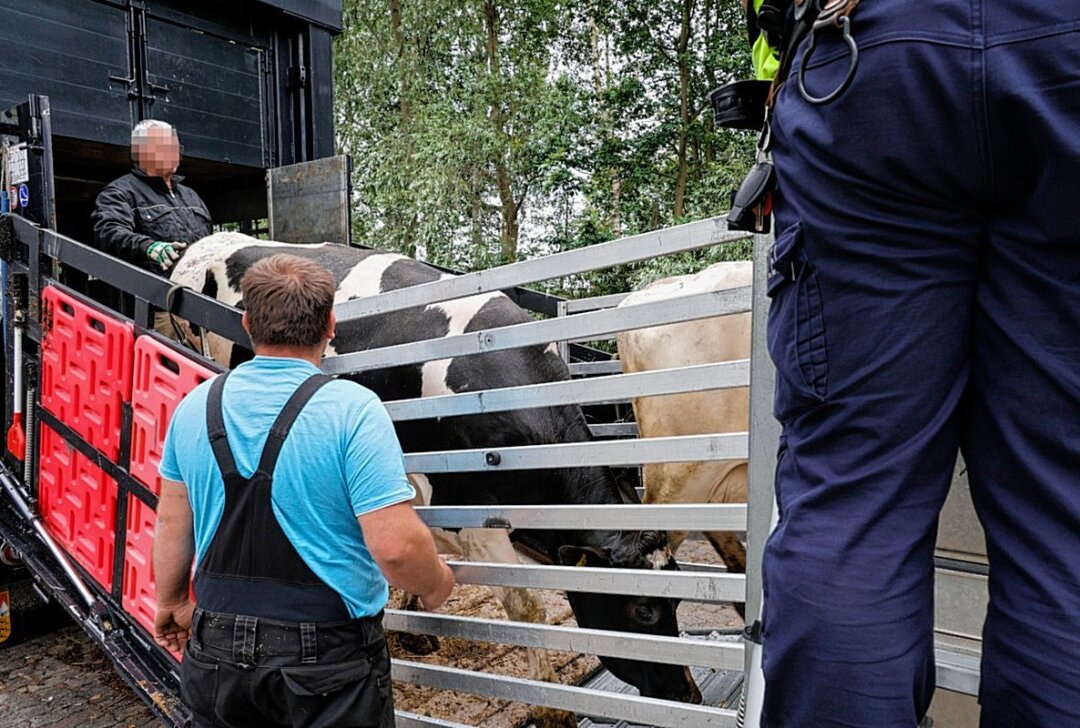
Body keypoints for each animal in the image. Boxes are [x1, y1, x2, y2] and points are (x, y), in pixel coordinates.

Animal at [166, 232, 699, 712]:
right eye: (643, 609)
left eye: (675, 599)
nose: (688, 694)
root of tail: (206, 243)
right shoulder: (469, 513)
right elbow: (525, 606)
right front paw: (551, 708)